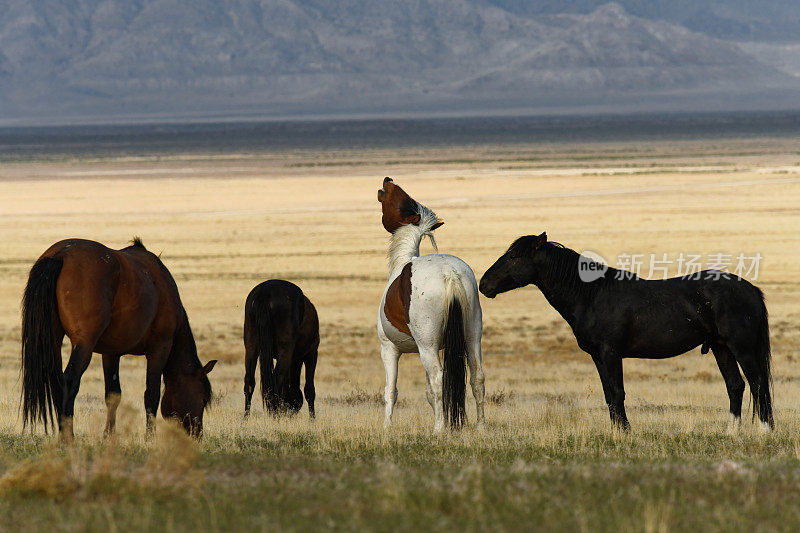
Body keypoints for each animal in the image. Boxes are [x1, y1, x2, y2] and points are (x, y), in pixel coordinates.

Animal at [21, 238, 216, 440]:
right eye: (203, 399)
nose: (197, 434)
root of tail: (61, 254)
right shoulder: (159, 348)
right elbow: (151, 394)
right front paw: (150, 438)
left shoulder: (111, 353)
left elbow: (113, 395)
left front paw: (109, 435)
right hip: (84, 344)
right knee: (69, 381)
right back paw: (68, 438)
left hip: (53, 339)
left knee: (58, 381)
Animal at [244, 280, 318, 418]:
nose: (288, 415)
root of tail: (265, 292)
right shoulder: (311, 354)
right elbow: (309, 390)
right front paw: (312, 420)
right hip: (286, 350)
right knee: (276, 379)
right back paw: (275, 418)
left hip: (251, 347)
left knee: (249, 382)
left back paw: (245, 419)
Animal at [376, 177, 484, 430]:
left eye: (399, 198)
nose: (388, 180)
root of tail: (450, 274)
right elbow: (427, 393)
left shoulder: (390, 349)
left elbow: (391, 392)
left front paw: (386, 428)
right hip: (471, 337)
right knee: (477, 378)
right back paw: (480, 427)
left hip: (428, 346)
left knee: (438, 379)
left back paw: (439, 429)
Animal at [478, 231, 772, 430]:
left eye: (514, 256)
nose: (483, 284)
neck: (592, 294)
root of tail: (751, 289)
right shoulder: (598, 357)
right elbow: (609, 395)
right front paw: (616, 432)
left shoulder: (611, 353)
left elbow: (618, 393)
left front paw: (626, 433)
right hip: (721, 348)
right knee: (736, 386)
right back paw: (732, 432)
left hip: (741, 348)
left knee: (758, 384)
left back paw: (764, 430)